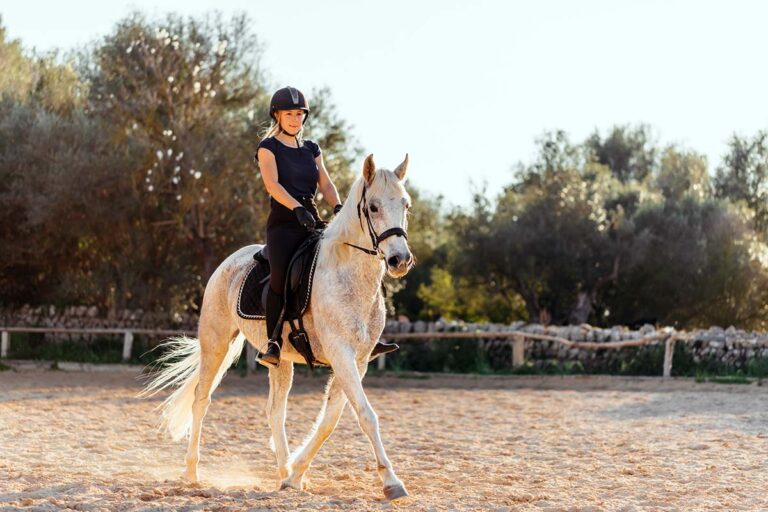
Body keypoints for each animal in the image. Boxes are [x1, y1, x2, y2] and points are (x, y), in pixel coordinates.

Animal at [140, 154, 414, 501]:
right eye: (374, 207)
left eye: (406, 205)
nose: (399, 260)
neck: (348, 275)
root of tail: (229, 260)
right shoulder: (341, 354)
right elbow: (366, 415)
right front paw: (392, 482)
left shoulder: (360, 359)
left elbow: (330, 419)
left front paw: (296, 475)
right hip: (216, 341)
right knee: (201, 399)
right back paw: (191, 472)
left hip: (280, 359)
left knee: (275, 411)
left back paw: (283, 471)